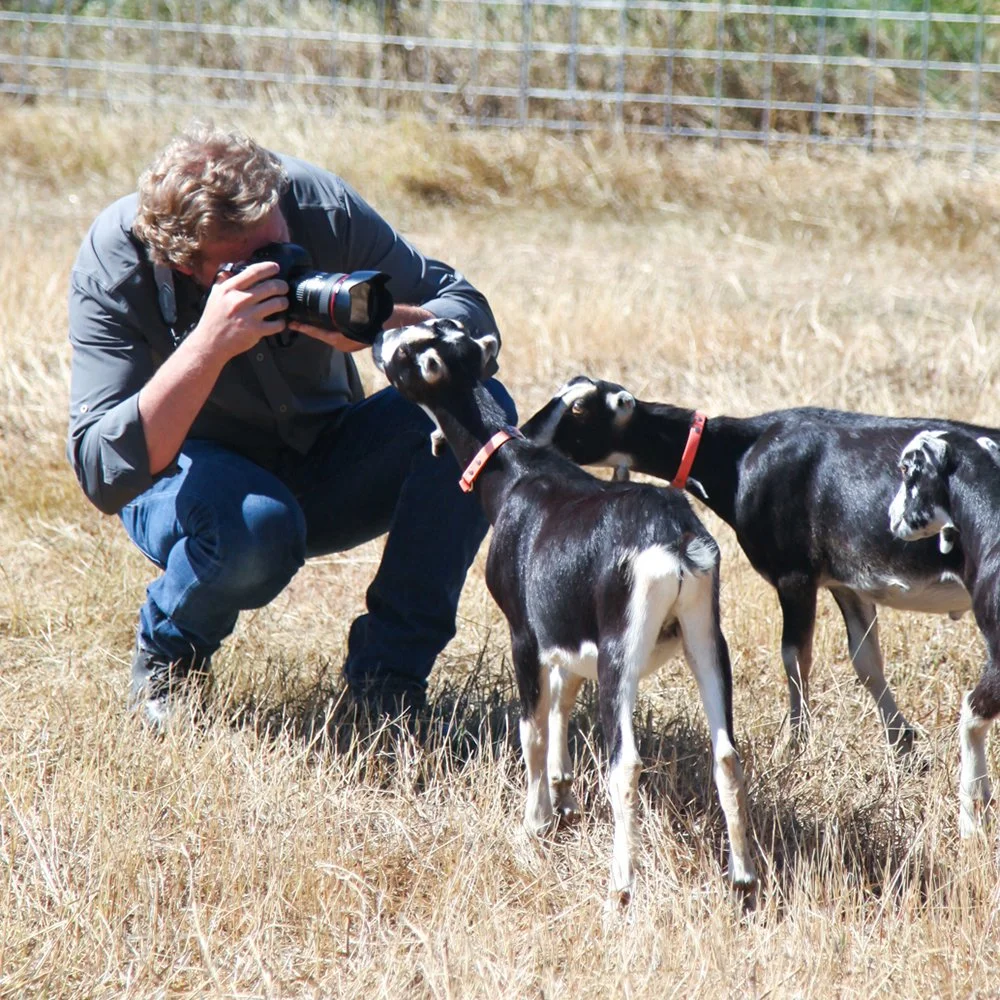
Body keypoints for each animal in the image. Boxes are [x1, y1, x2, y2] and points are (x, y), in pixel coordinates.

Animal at [372, 319, 757, 901]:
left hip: (622, 654)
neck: (515, 475)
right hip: (706, 639)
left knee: (626, 763)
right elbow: (560, 705)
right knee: (728, 755)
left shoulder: (525, 634)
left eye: (410, 352)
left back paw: (621, 887)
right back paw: (744, 878)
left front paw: (534, 823)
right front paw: (564, 798)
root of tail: (675, 539)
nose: (382, 336)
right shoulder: (568, 633)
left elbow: (531, 726)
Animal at [523, 376, 1000, 755]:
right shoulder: (847, 581)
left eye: (579, 407)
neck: (738, 457)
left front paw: (795, 743)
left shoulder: (795, 574)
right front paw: (902, 742)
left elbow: (795, 657)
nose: (526, 434)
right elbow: (866, 660)